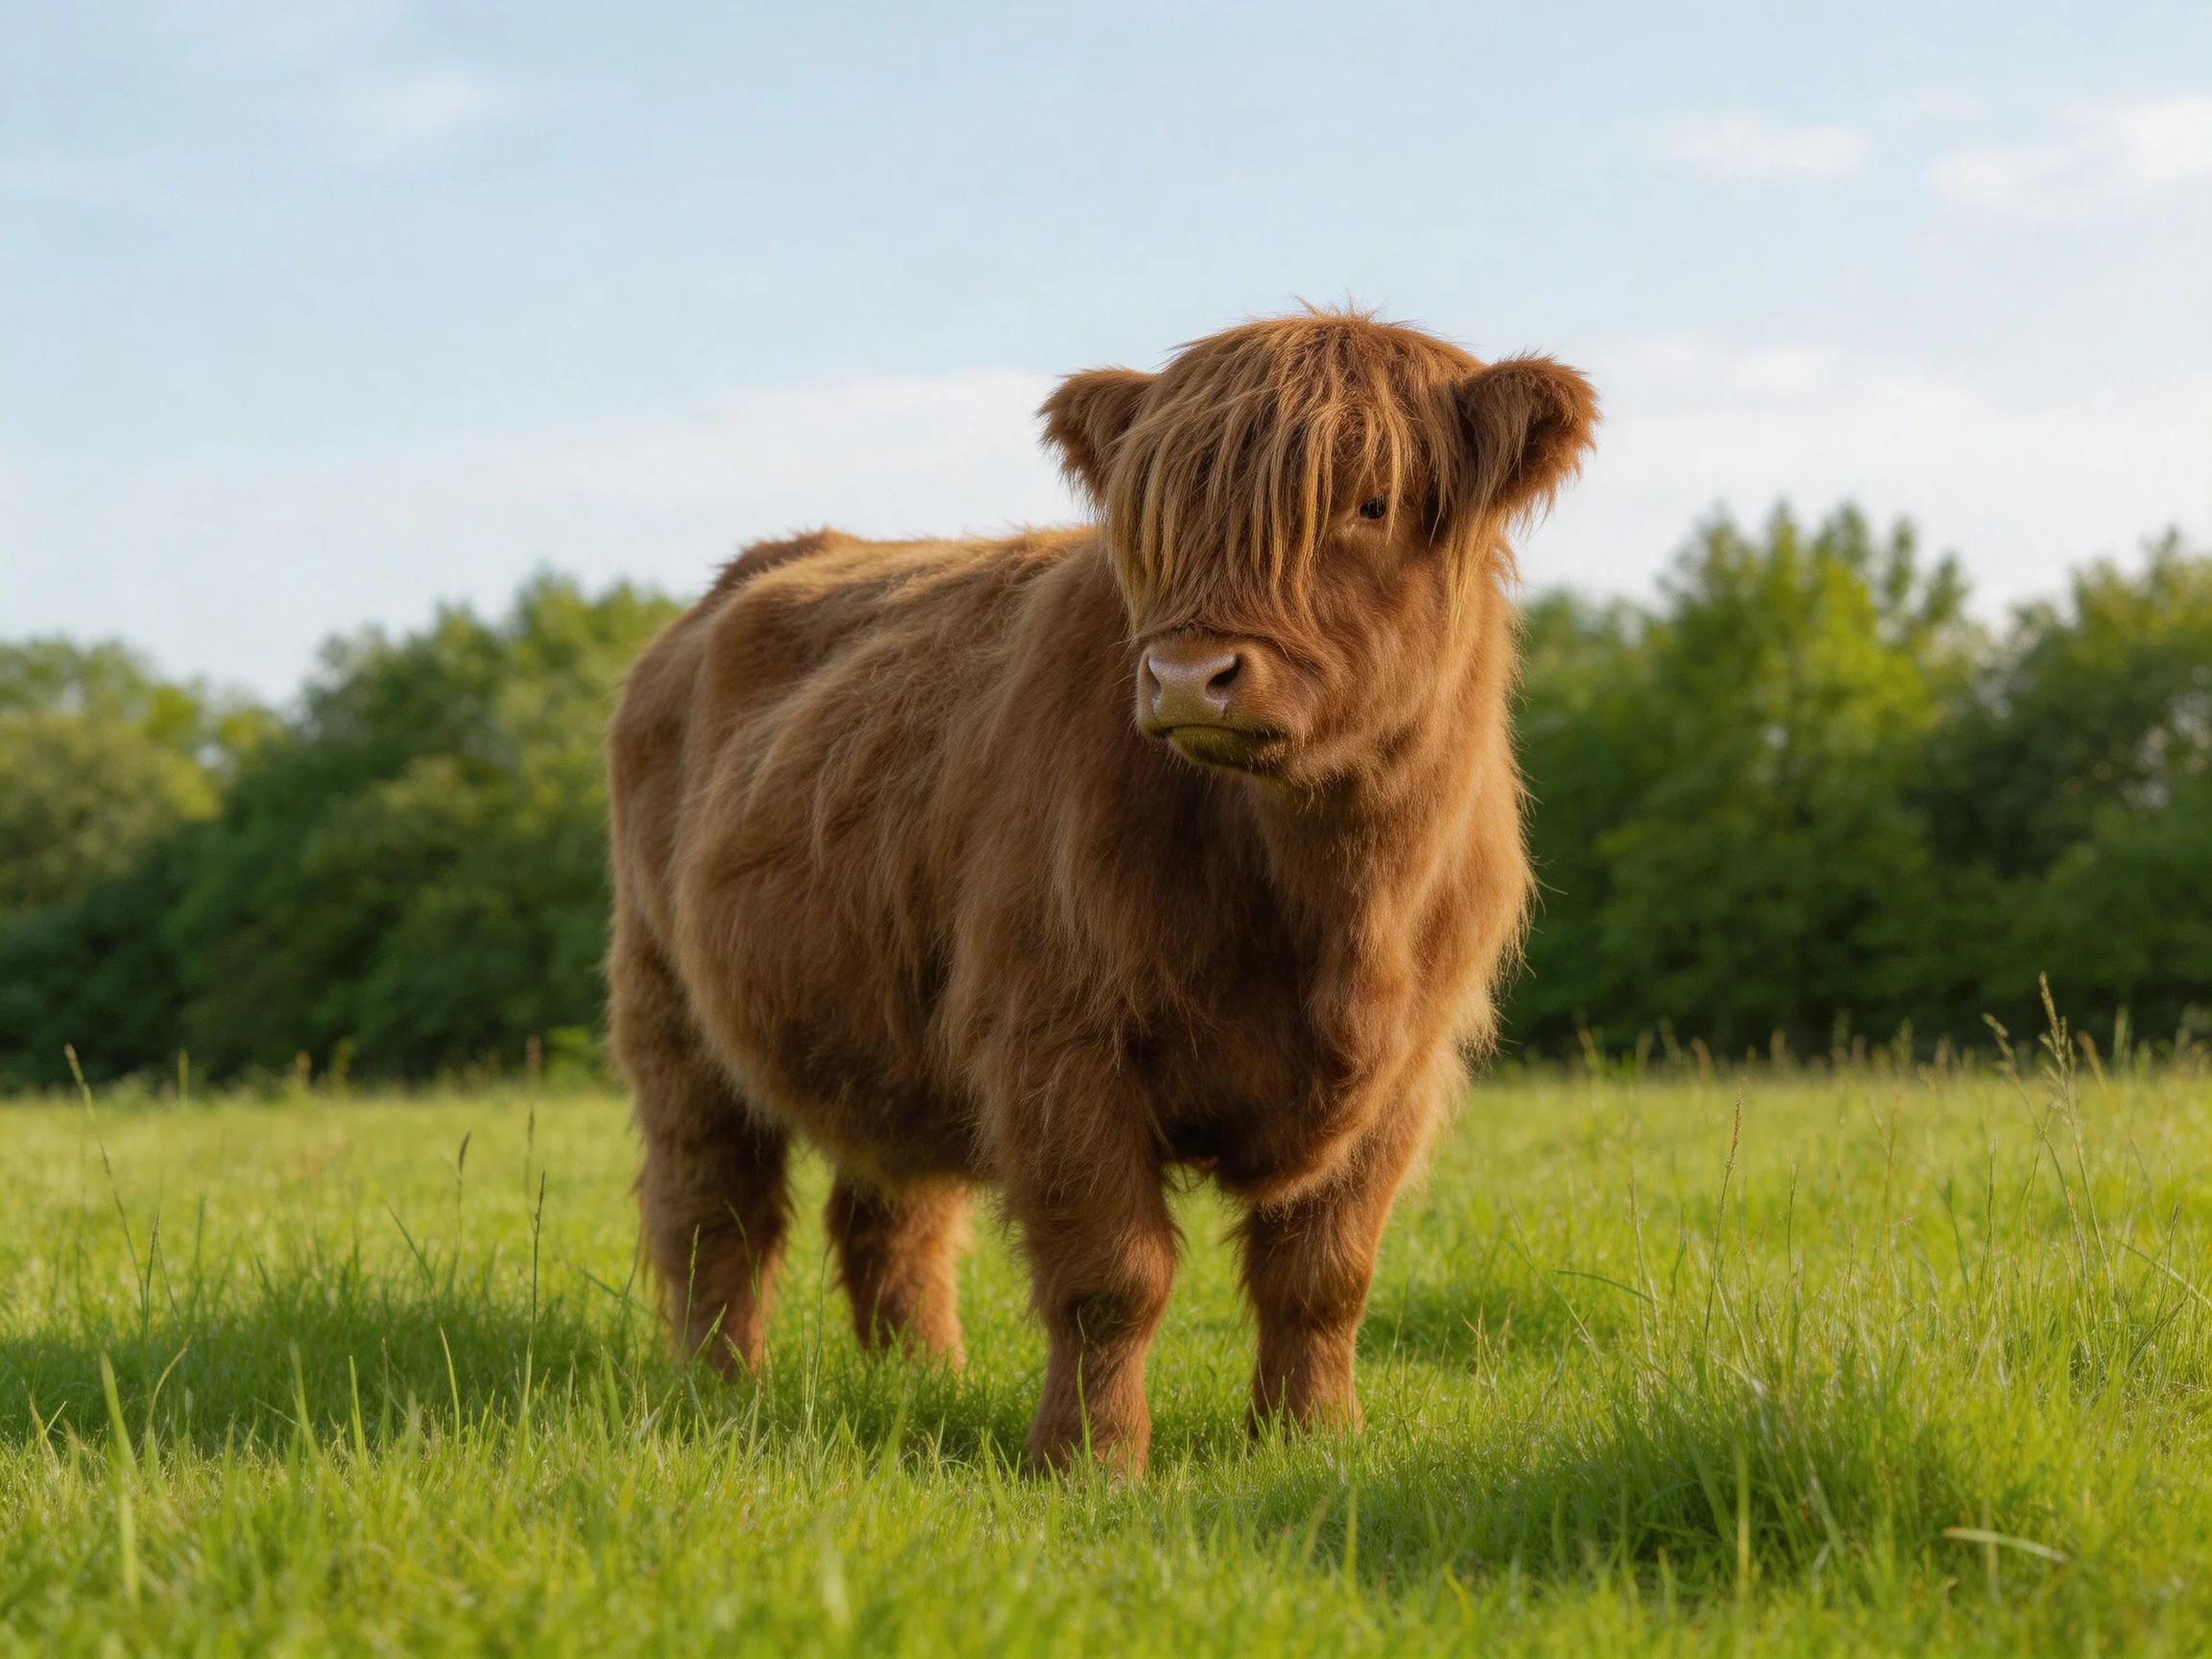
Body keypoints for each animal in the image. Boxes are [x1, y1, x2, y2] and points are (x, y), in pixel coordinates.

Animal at [606, 310, 1597, 1473]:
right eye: (1157, 516)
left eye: (1369, 504)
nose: (1187, 676)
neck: (1335, 907)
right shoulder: (1054, 1038)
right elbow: (1113, 1276)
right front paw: (1090, 1462)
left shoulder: (1405, 1069)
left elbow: (1325, 1277)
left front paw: (1310, 1441)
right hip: (669, 1002)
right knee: (715, 1206)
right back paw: (719, 1389)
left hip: (882, 1030)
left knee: (892, 1211)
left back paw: (924, 1378)